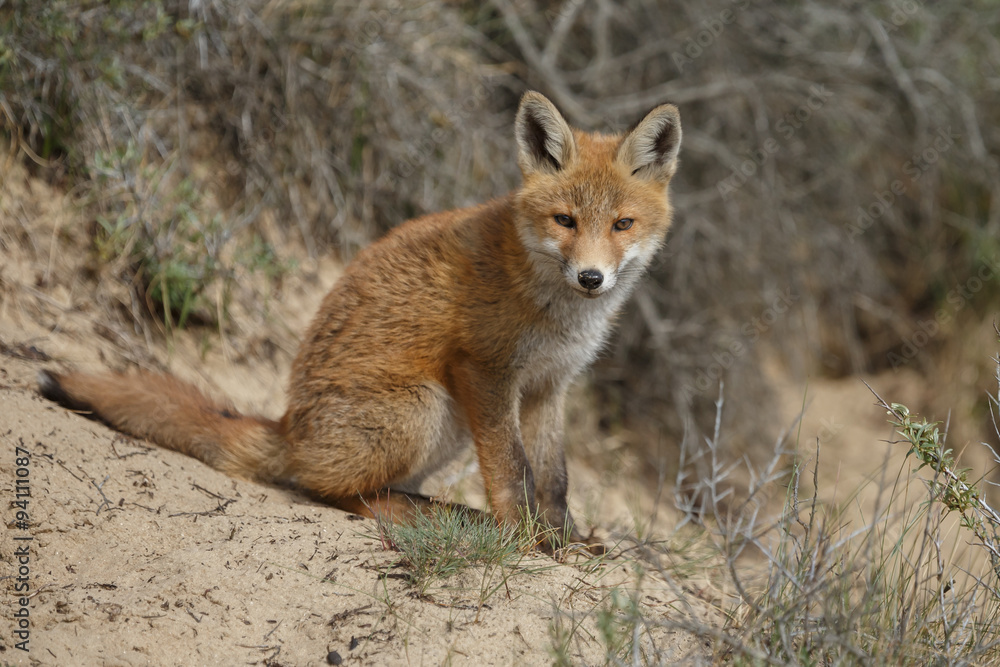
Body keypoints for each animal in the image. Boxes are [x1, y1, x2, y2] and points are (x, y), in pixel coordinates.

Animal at [39, 91, 682, 552]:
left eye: (622, 224)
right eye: (565, 220)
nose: (591, 278)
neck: (554, 308)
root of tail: (288, 428)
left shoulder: (549, 386)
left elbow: (554, 479)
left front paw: (563, 540)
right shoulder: (486, 370)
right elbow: (512, 472)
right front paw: (527, 542)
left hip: (445, 428)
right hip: (424, 409)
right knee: (327, 490)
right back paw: (416, 517)